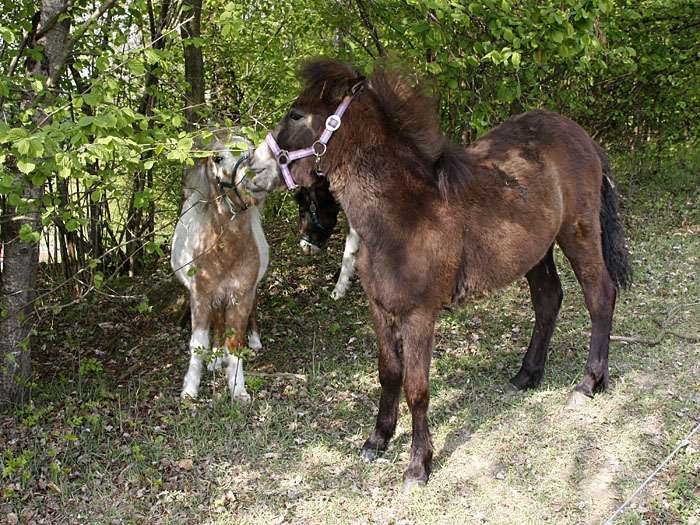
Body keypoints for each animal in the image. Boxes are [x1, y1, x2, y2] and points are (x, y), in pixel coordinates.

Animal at [171, 131, 269, 403]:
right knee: (217, 322)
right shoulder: (201, 297)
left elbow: (235, 343)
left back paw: (253, 342)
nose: (255, 180)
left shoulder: (241, 295)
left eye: (253, 151)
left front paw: (238, 389)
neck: (224, 253)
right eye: (218, 157)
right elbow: (198, 344)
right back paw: (215, 358)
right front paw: (190, 389)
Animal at [246, 59, 632, 492]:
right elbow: (388, 374)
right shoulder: (379, 309)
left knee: (600, 295)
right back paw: (526, 375)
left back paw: (588, 383)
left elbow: (417, 388)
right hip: (538, 250)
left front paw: (418, 464)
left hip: (578, 233)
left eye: (296, 114)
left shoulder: (420, 316)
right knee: (549, 300)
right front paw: (378, 439)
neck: (404, 215)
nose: (252, 168)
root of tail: (583, 136)